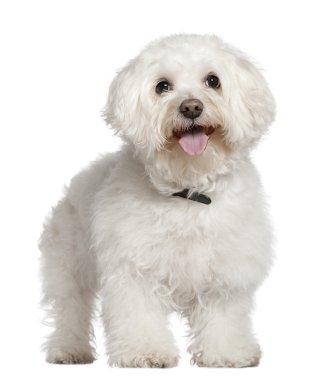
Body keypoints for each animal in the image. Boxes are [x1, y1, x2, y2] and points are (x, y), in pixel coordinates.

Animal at [39, 35, 274, 368]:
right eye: (163, 86)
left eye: (213, 80)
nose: (191, 107)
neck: (188, 192)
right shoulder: (133, 270)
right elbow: (140, 315)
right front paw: (145, 352)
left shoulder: (225, 272)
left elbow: (223, 318)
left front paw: (226, 353)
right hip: (68, 266)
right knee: (70, 308)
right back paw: (69, 349)